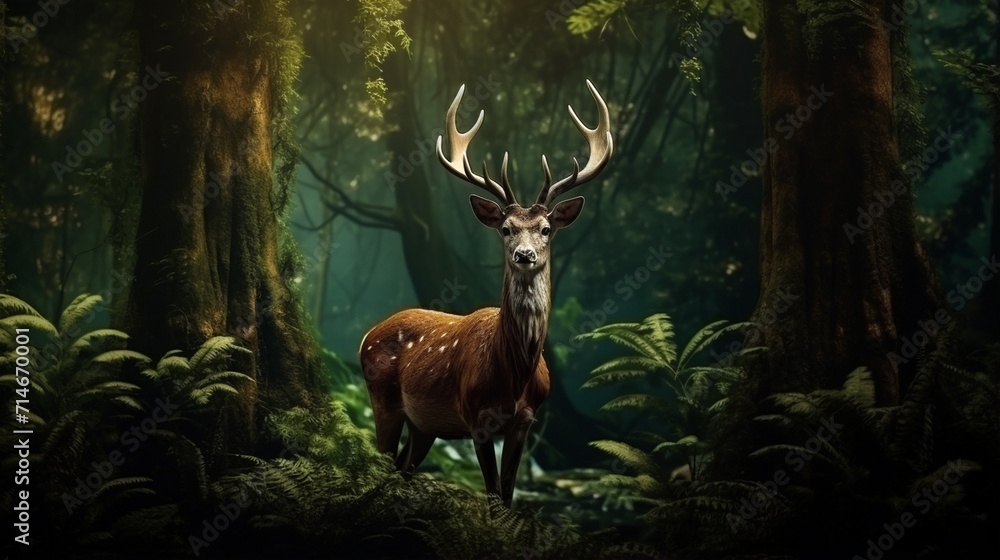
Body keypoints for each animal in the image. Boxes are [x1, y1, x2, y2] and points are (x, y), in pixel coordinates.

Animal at [359, 80, 613, 508]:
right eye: (506, 228)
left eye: (546, 229)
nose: (524, 255)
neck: (514, 376)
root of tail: (366, 336)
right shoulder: (476, 416)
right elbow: (493, 497)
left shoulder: (525, 422)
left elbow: (508, 497)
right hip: (383, 399)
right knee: (380, 462)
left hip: (424, 424)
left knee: (402, 468)